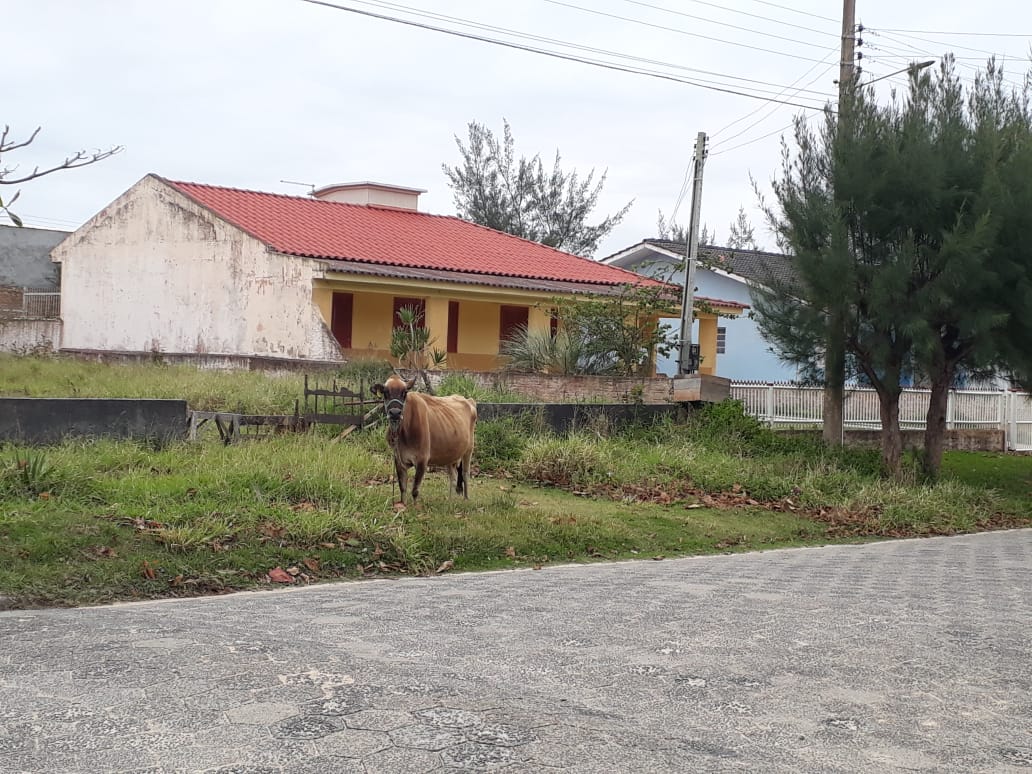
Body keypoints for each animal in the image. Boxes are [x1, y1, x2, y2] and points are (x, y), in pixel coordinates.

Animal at [373, 373, 476, 503]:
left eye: (404, 393)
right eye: (385, 392)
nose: (395, 413)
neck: (403, 433)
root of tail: (467, 400)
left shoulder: (422, 459)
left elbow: (415, 490)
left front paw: (415, 506)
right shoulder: (398, 459)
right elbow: (402, 488)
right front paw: (403, 504)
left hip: (469, 449)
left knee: (465, 473)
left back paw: (466, 499)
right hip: (451, 452)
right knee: (453, 476)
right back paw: (450, 500)